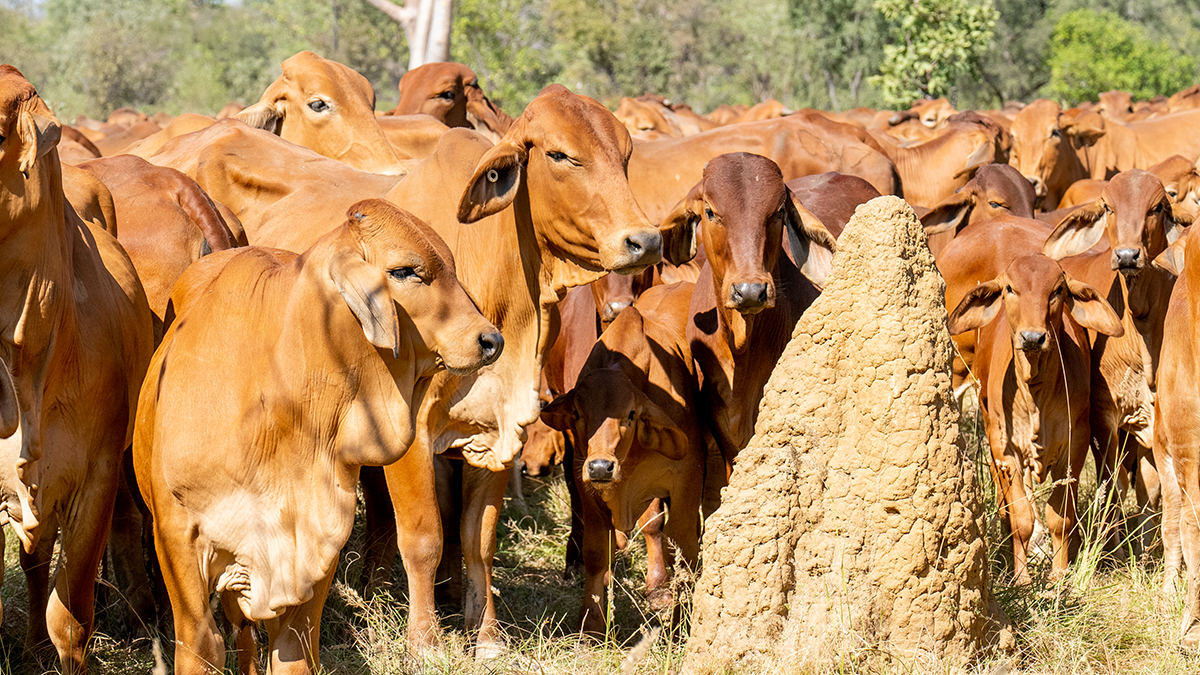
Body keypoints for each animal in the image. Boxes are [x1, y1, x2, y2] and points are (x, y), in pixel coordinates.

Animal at [135, 198, 501, 672]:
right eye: (405, 271)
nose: (491, 339)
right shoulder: (180, 543)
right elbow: (202, 649)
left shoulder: (319, 546)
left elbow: (293, 654)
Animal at [540, 281, 700, 634]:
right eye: (577, 413)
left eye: (630, 414)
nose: (601, 466)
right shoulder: (587, 488)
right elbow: (597, 553)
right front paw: (591, 625)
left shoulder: (685, 481)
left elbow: (683, 546)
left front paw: (681, 622)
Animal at [945, 254, 1123, 581]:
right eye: (1010, 289)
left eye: (1057, 290)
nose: (1032, 337)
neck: (1034, 390)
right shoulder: (1005, 448)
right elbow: (1021, 518)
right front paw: (1022, 579)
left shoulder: (1075, 443)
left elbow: (1060, 517)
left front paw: (1059, 575)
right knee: (1009, 505)